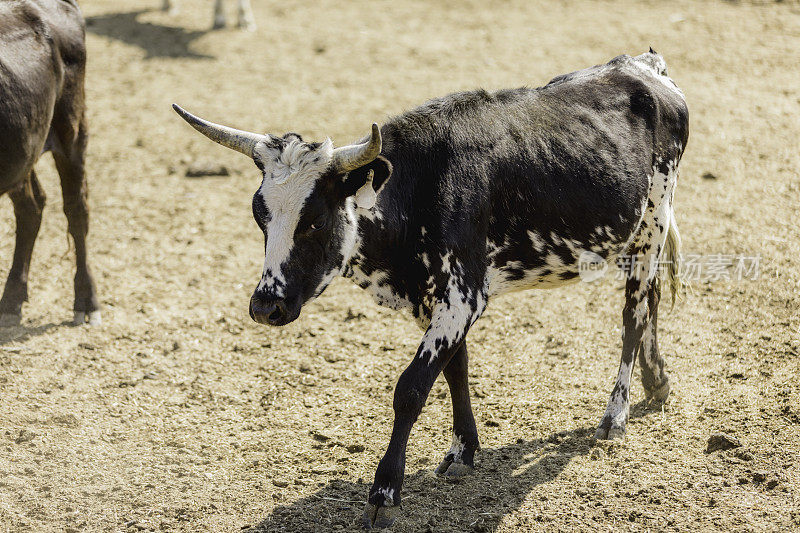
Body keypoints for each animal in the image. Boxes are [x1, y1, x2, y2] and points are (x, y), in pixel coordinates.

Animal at [0, 0, 99, 326]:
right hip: (23, 147)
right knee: (31, 207)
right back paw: (12, 298)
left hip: (72, 129)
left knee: (76, 209)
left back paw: (86, 300)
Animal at [173, 51, 688, 528]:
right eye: (259, 213)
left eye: (314, 219)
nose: (266, 305)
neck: (422, 190)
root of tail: (643, 66)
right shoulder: (436, 300)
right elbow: (455, 369)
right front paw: (463, 451)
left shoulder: (462, 296)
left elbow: (412, 387)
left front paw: (384, 490)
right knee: (652, 301)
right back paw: (657, 381)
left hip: (651, 224)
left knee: (634, 314)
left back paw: (616, 413)